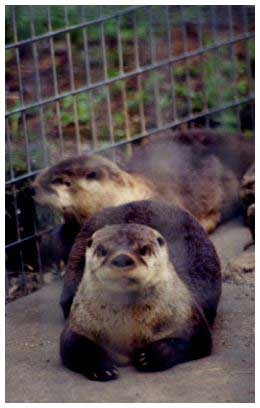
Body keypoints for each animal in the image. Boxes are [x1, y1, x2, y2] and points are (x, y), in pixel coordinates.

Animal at [60, 201, 221, 382]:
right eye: (102, 250)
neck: (128, 331)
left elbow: (195, 343)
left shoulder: (189, 317)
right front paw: (102, 368)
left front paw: (150, 356)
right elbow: (73, 346)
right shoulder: (78, 322)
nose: (122, 258)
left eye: (143, 249)